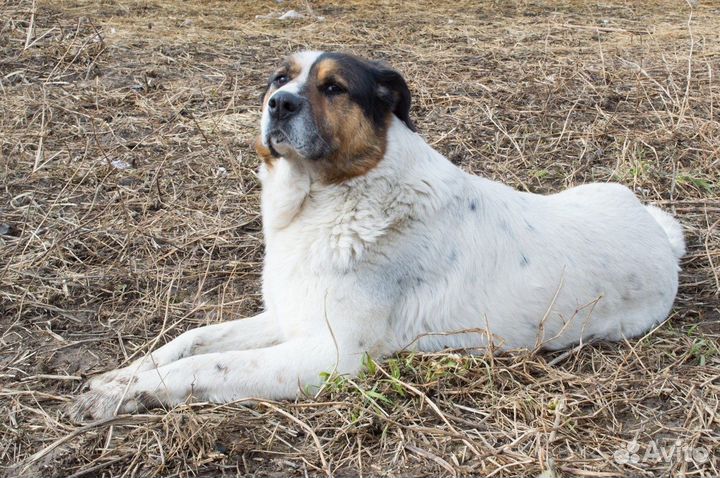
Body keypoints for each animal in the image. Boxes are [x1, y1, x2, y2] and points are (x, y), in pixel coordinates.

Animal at [69, 50, 688, 420]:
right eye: (280, 78)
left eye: (335, 88)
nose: (277, 103)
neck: (330, 202)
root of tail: (661, 235)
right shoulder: (288, 318)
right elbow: (192, 340)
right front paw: (121, 377)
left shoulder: (329, 354)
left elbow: (204, 367)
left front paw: (124, 395)